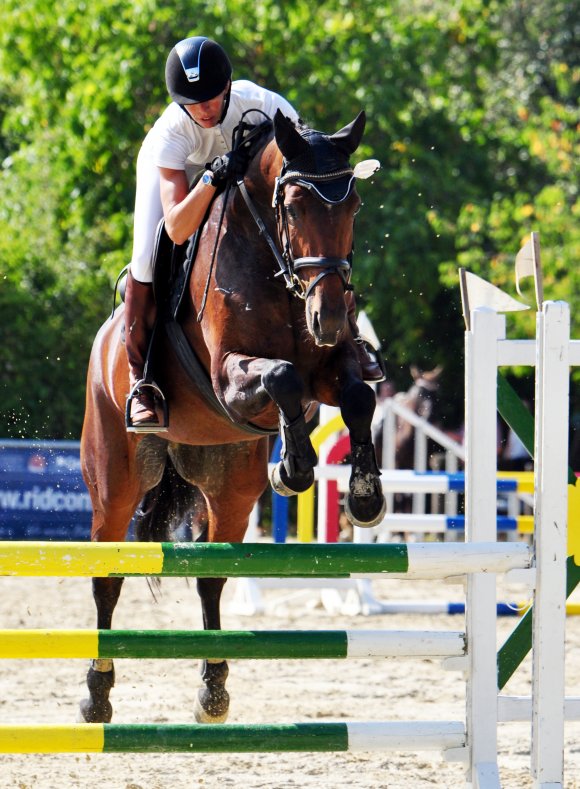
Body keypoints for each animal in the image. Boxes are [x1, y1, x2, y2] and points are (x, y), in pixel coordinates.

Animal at [77, 107, 386, 724]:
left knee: (212, 577)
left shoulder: (329, 368)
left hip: (230, 488)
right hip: (116, 482)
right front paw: (293, 469)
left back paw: (213, 690)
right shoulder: (228, 378)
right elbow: (281, 376)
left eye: (354, 206)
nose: (330, 317)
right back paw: (97, 693)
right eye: (294, 206)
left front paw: (364, 496)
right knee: (107, 578)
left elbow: (356, 397)